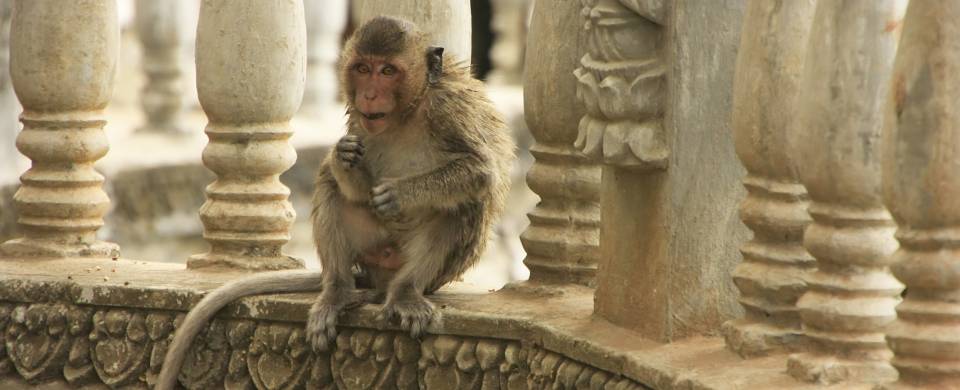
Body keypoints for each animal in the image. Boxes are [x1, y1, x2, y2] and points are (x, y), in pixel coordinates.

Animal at [157, 15, 512, 390]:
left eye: (388, 71)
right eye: (363, 69)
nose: (369, 94)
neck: (409, 110)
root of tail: (379, 276)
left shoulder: (449, 108)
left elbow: (480, 171)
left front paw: (400, 194)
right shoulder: (358, 119)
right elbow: (349, 182)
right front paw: (343, 158)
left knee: (463, 207)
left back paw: (405, 293)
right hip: (371, 246)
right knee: (331, 187)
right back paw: (338, 291)